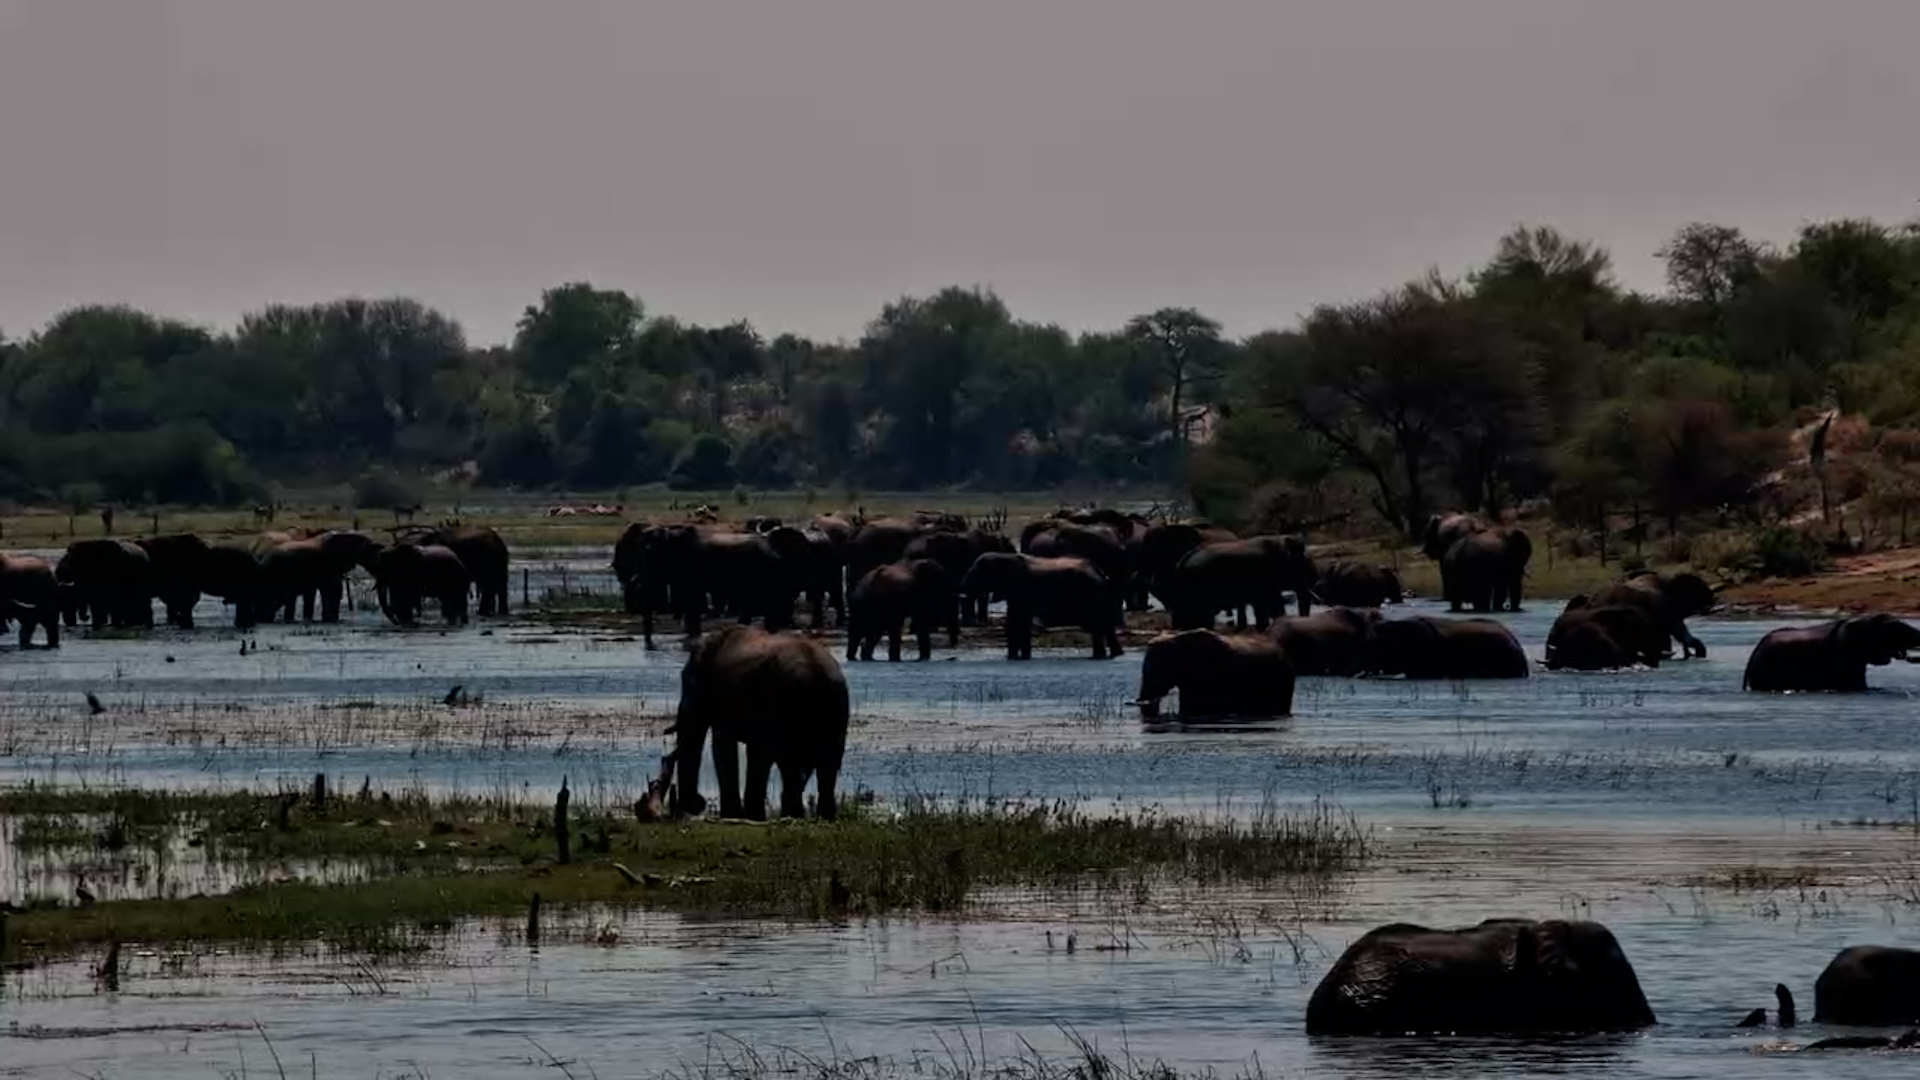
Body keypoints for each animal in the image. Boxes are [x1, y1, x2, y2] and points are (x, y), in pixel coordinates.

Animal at [671, 625, 849, 821]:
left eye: (689, 685)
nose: (700, 803)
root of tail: (817, 670)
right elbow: (754, 751)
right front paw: (749, 816)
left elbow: (724, 746)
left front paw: (737, 816)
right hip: (835, 706)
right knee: (826, 764)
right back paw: (819, 817)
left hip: (788, 702)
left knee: (791, 762)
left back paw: (792, 815)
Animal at [959, 552, 1122, 660]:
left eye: (977, 572)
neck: (1003, 557)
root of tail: (1100, 572)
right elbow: (1019, 620)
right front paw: (1021, 657)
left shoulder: (1020, 590)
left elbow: (1016, 620)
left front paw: (1014, 658)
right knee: (1105, 624)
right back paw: (1113, 654)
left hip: (1090, 594)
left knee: (1097, 625)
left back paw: (1098, 656)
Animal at [1168, 535, 1317, 631]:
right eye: (1304, 565)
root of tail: (1181, 563)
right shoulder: (1267, 576)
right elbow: (1273, 605)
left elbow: (1260, 607)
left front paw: (1262, 628)